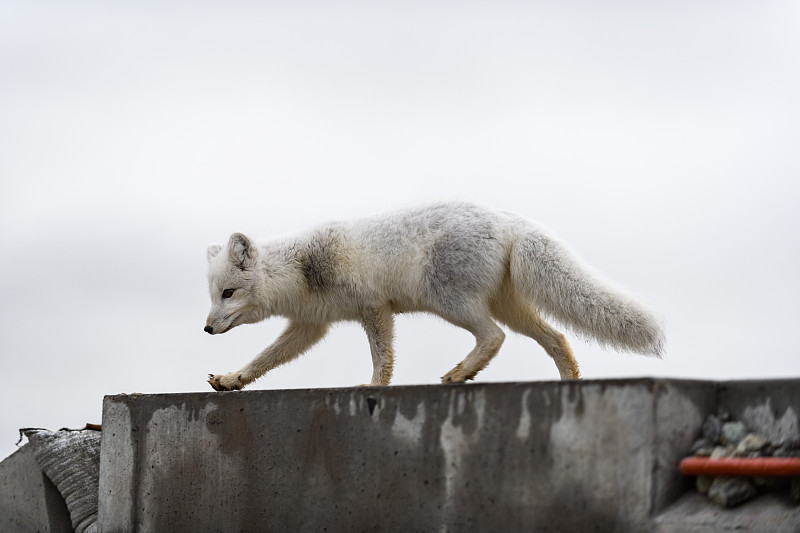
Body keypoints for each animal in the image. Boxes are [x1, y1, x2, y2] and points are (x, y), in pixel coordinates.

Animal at [205, 202, 664, 388]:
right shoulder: (309, 327)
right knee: (557, 338)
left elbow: (383, 357)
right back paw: (570, 383)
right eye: (212, 295)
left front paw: (374, 387)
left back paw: (459, 374)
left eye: (228, 292)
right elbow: (264, 360)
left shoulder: (374, 308)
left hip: (450, 301)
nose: (207, 328)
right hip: (509, 308)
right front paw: (231, 379)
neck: (302, 270)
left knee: (494, 336)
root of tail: (510, 219)